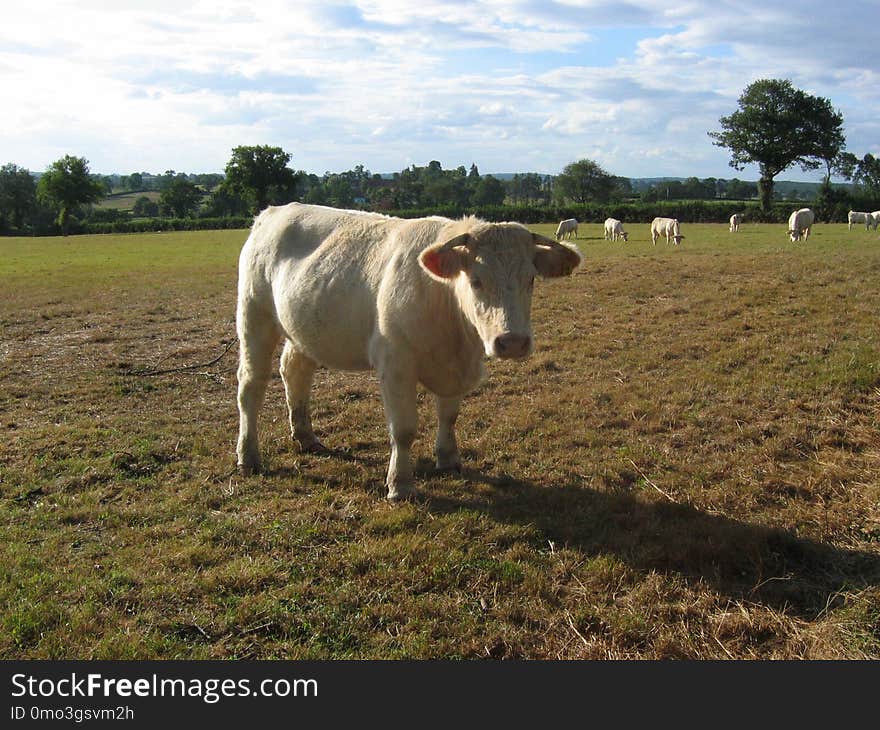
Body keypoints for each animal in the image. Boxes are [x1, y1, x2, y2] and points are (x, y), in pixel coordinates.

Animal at [235, 202, 584, 498]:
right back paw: (248, 455)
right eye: (475, 280)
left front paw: (448, 459)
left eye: (531, 279)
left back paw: (305, 436)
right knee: (251, 385)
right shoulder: (396, 366)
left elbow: (449, 416)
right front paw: (400, 484)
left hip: (301, 330)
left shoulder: (455, 367)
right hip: (254, 316)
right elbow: (403, 430)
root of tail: (272, 211)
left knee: (295, 372)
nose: (512, 342)